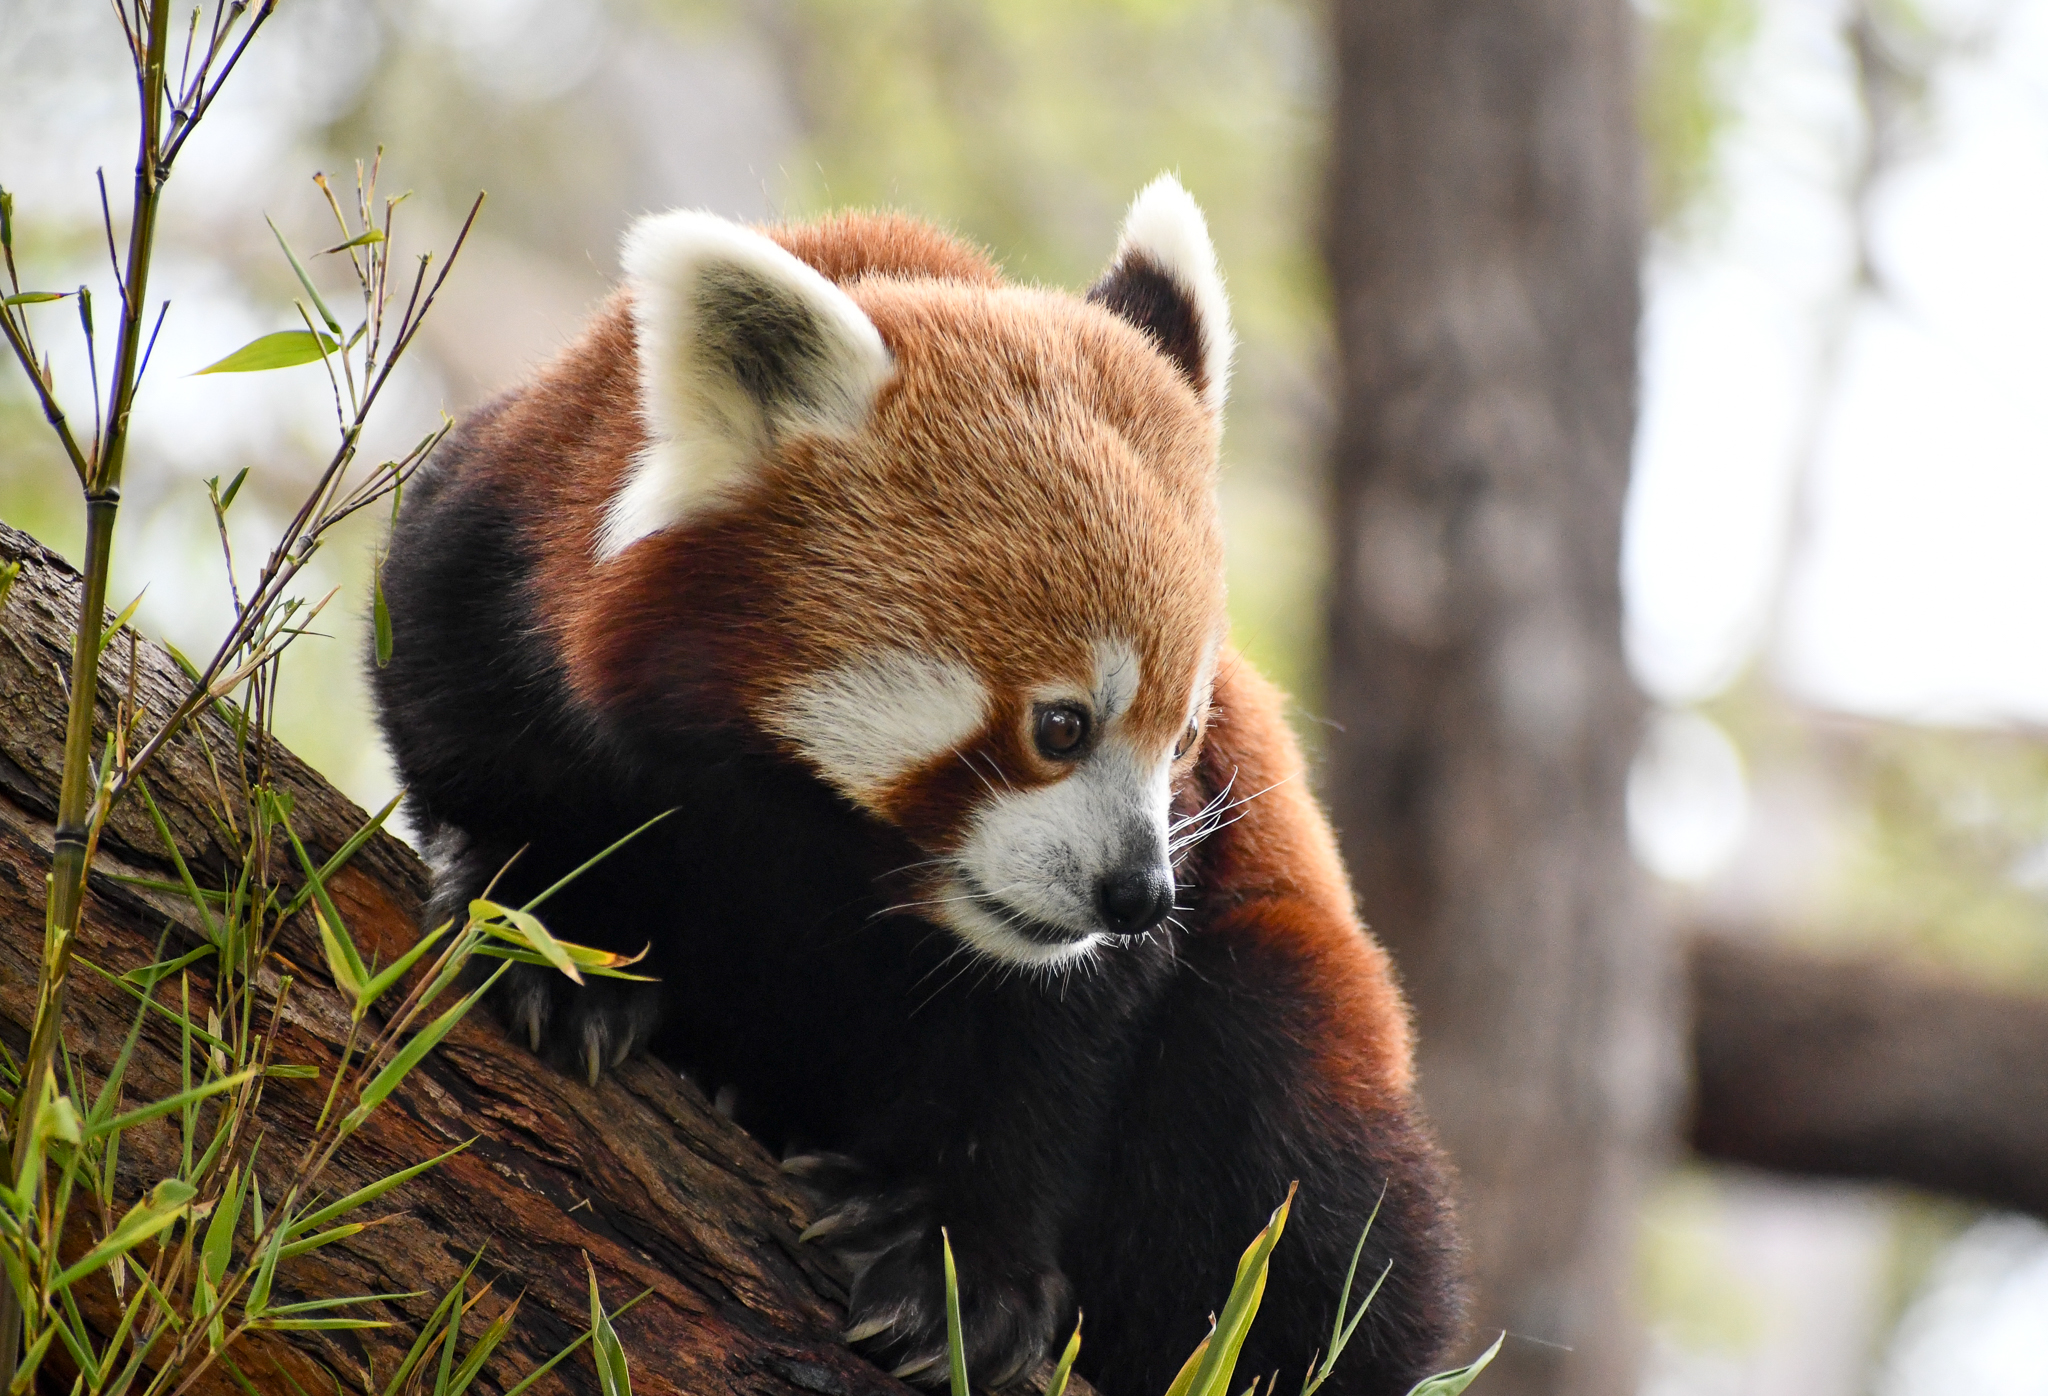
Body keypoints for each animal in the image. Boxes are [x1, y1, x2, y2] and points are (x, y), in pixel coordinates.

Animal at [371, 176, 1463, 1396]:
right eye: (1060, 725)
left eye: (1182, 738)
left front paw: (956, 1268)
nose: (1136, 895)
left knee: (1288, 1137)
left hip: (1296, 1012)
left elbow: (1052, 1049)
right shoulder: (505, 541)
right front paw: (559, 933)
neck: (811, 826)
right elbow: (468, 730)